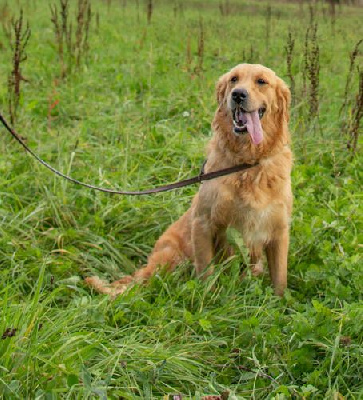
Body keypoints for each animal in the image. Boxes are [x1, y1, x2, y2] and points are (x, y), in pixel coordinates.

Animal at [86, 64, 294, 296]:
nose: (238, 94)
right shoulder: (202, 222)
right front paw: (207, 298)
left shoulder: (279, 230)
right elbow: (206, 272)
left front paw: (280, 302)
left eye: (261, 81)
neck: (248, 163)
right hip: (172, 257)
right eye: (234, 79)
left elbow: (280, 279)